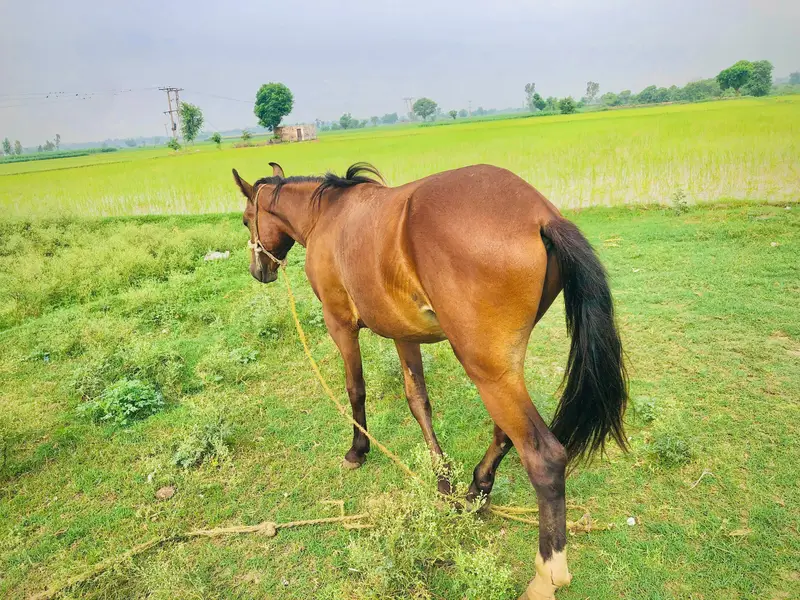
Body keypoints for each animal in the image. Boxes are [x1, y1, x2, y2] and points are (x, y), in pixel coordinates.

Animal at [232, 161, 627, 600]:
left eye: (247, 219)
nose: (259, 271)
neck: (328, 214)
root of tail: (541, 215)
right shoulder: (403, 334)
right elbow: (417, 400)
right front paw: (443, 483)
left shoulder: (340, 325)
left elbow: (356, 390)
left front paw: (358, 449)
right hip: (499, 368)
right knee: (505, 432)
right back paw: (476, 491)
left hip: (484, 368)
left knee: (544, 456)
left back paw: (546, 575)